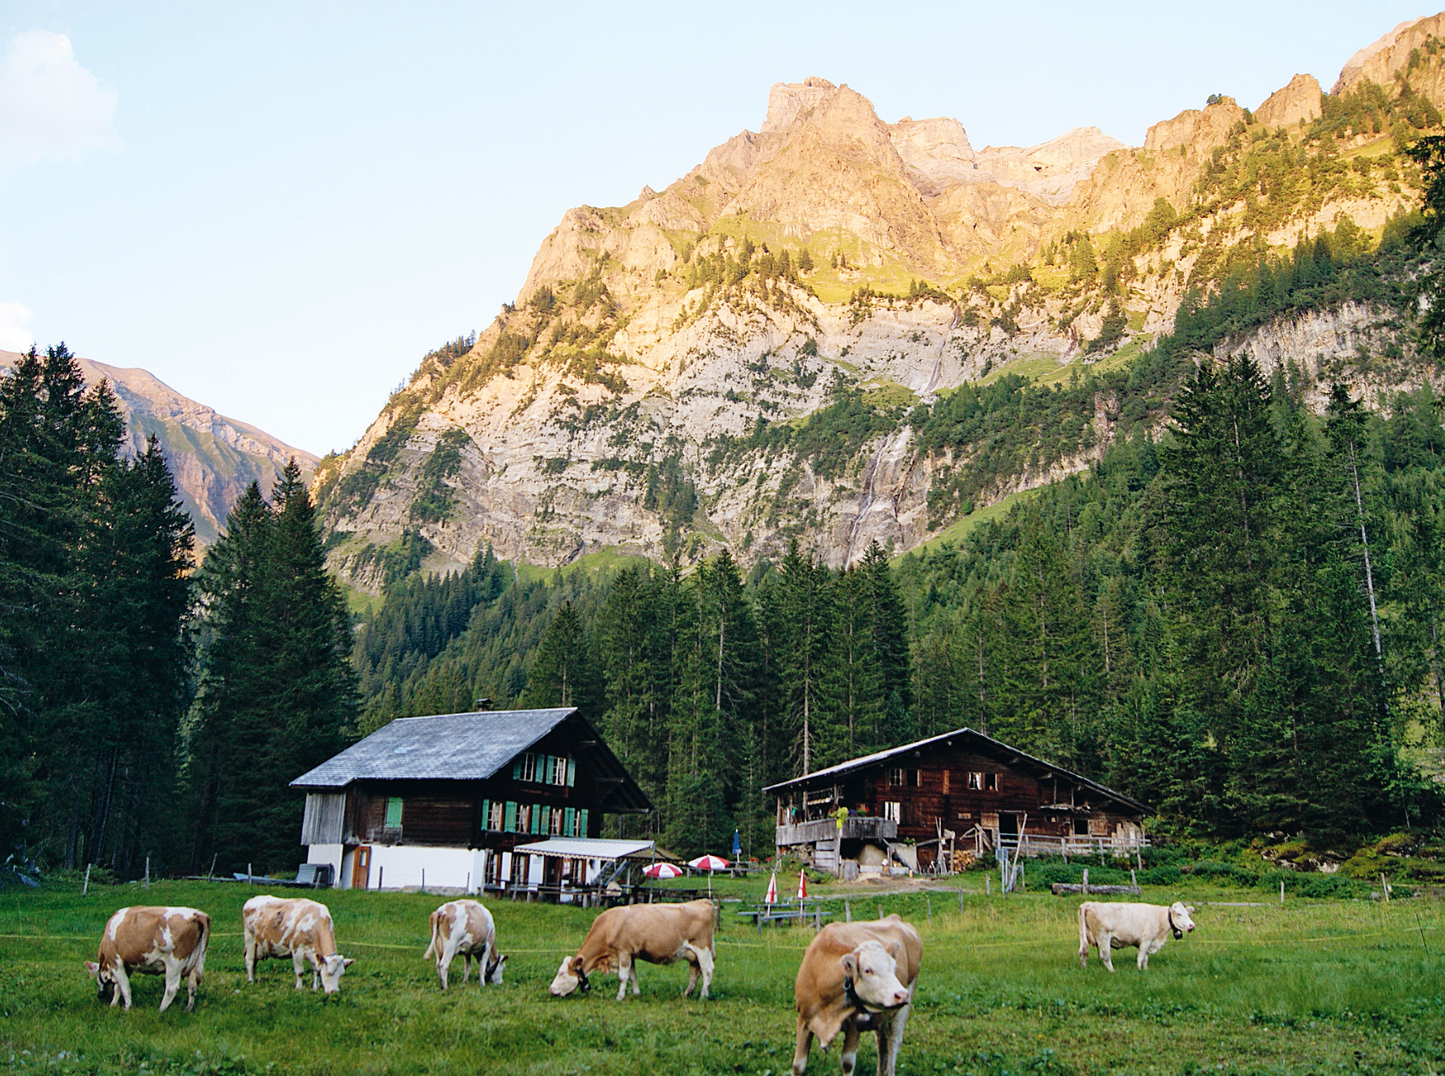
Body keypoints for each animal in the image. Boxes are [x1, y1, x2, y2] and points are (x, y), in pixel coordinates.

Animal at [546, 889, 716, 999]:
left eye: (562, 973)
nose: (551, 990)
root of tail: (703, 901)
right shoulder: (630, 954)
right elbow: (632, 976)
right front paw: (636, 993)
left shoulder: (624, 952)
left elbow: (622, 976)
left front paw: (619, 997)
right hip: (692, 954)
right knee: (695, 972)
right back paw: (687, 994)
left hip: (702, 948)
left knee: (707, 970)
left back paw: (703, 995)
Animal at [791, 912, 913, 1074]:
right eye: (867, 970)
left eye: (894, 967)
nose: (902, 994)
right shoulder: (804, 1018)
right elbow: (798, 1065)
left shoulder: (855, 1022)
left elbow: (847, 1063)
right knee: (882, 1043)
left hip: (902, 1008)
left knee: (893, 1042)